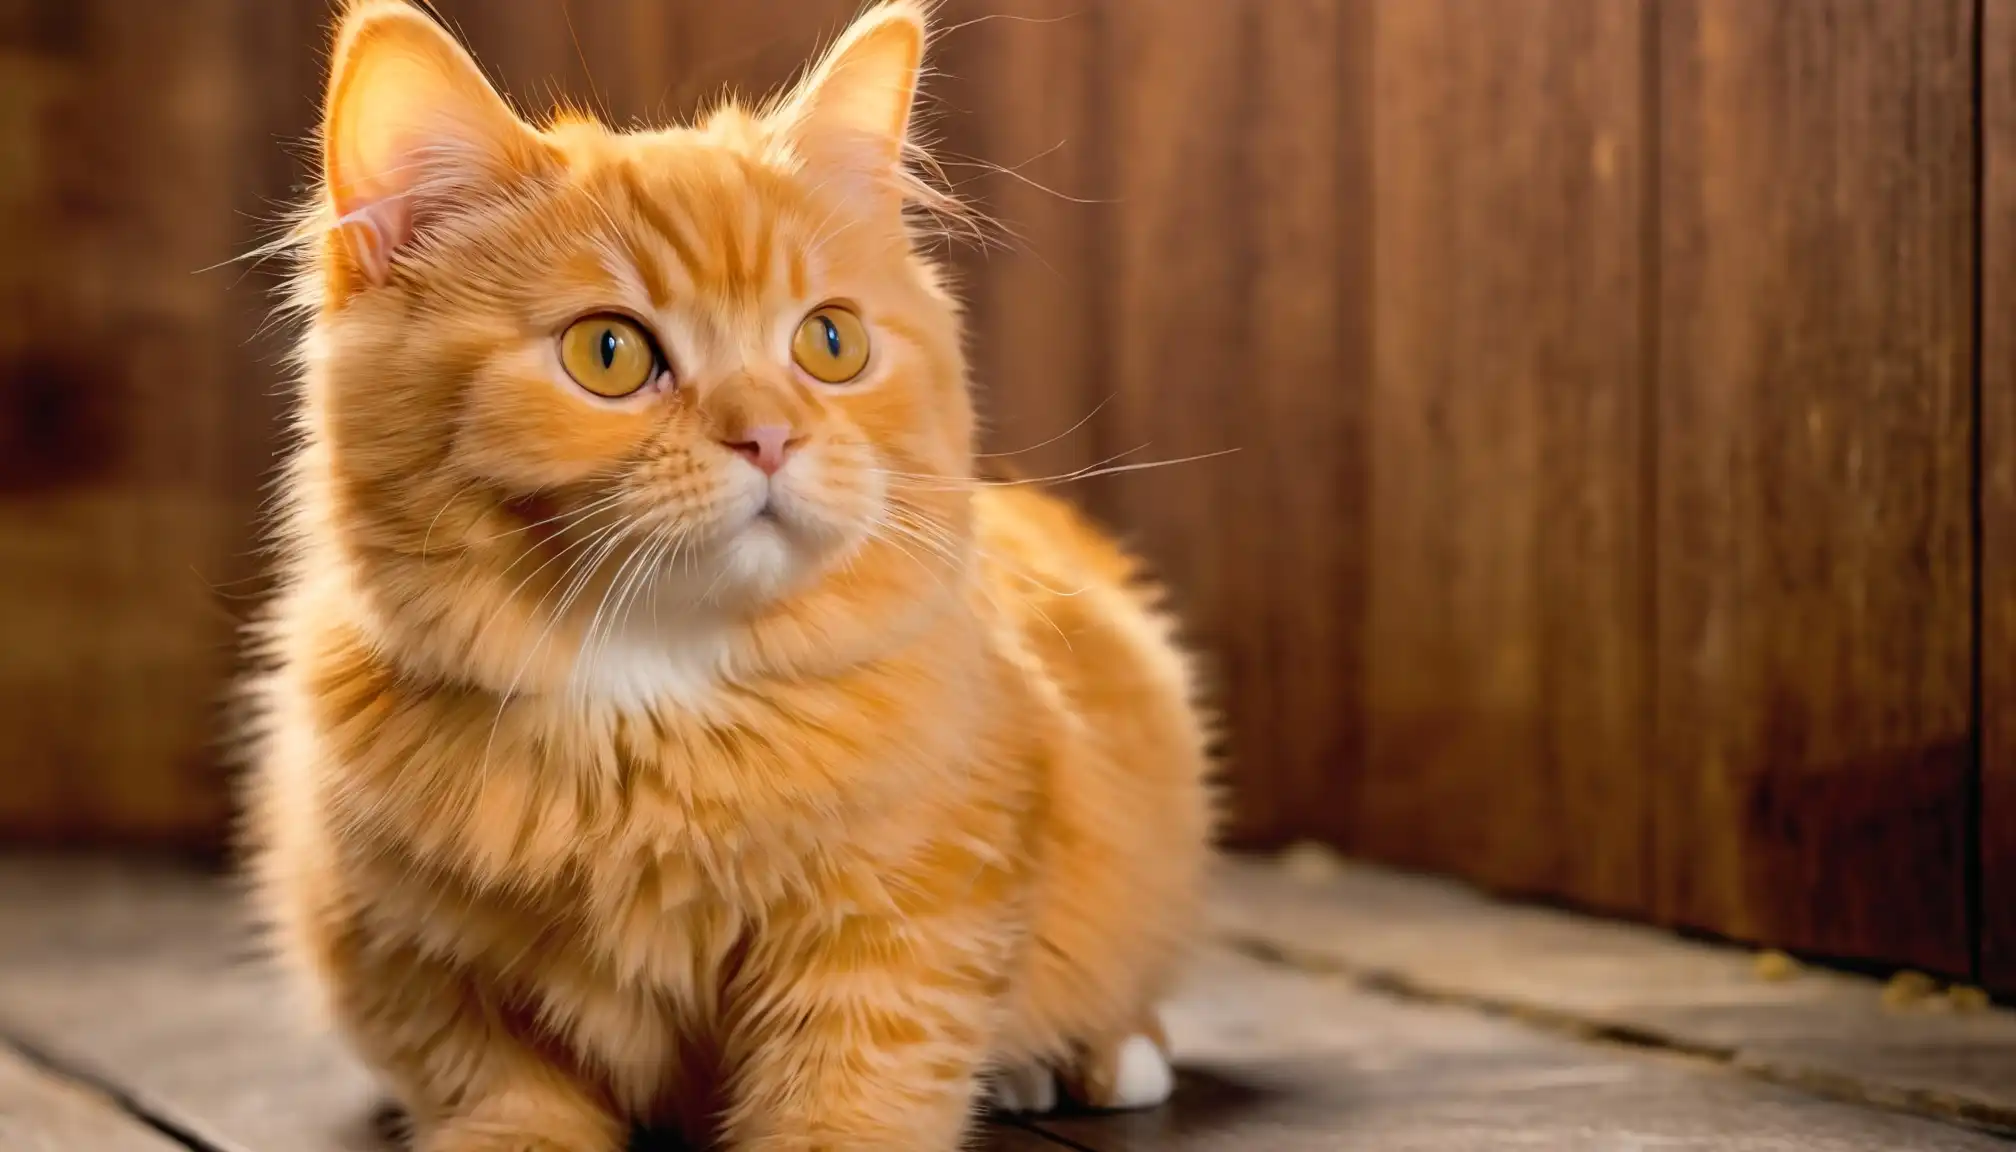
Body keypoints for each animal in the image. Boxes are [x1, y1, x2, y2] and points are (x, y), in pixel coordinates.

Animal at [237, 4, 1209, 1145]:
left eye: (830, 342)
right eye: (608, 354)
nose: (770, 437)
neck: (655, 695)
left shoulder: (898, 933)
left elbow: (847, 1095)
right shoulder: (407, 948)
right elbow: (491, 1081)